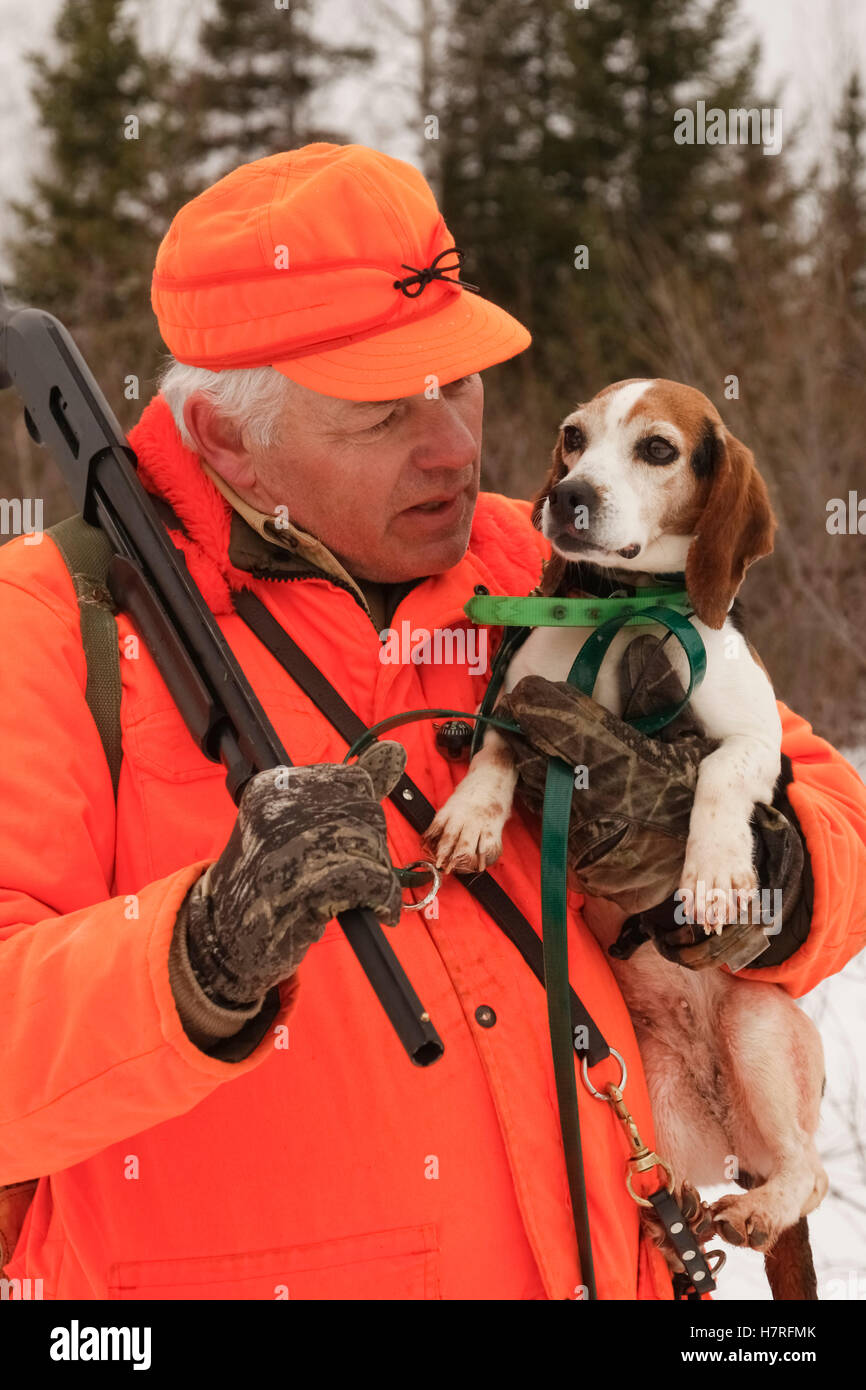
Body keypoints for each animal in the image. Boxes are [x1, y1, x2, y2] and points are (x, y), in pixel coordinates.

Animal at [422, 378, 828, 1278]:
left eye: (657, 449)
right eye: (573, 438)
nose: (570, 498)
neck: (623, 610)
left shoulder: (755, 736)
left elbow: (716, 773)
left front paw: (714, 870)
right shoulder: (525, 701)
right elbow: (493, 751)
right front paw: (472, 816)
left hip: (758, 1025)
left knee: (811, 1175)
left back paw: (758, 1211)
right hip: (642, 1080)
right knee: (668, 1172)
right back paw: (679, 1203)